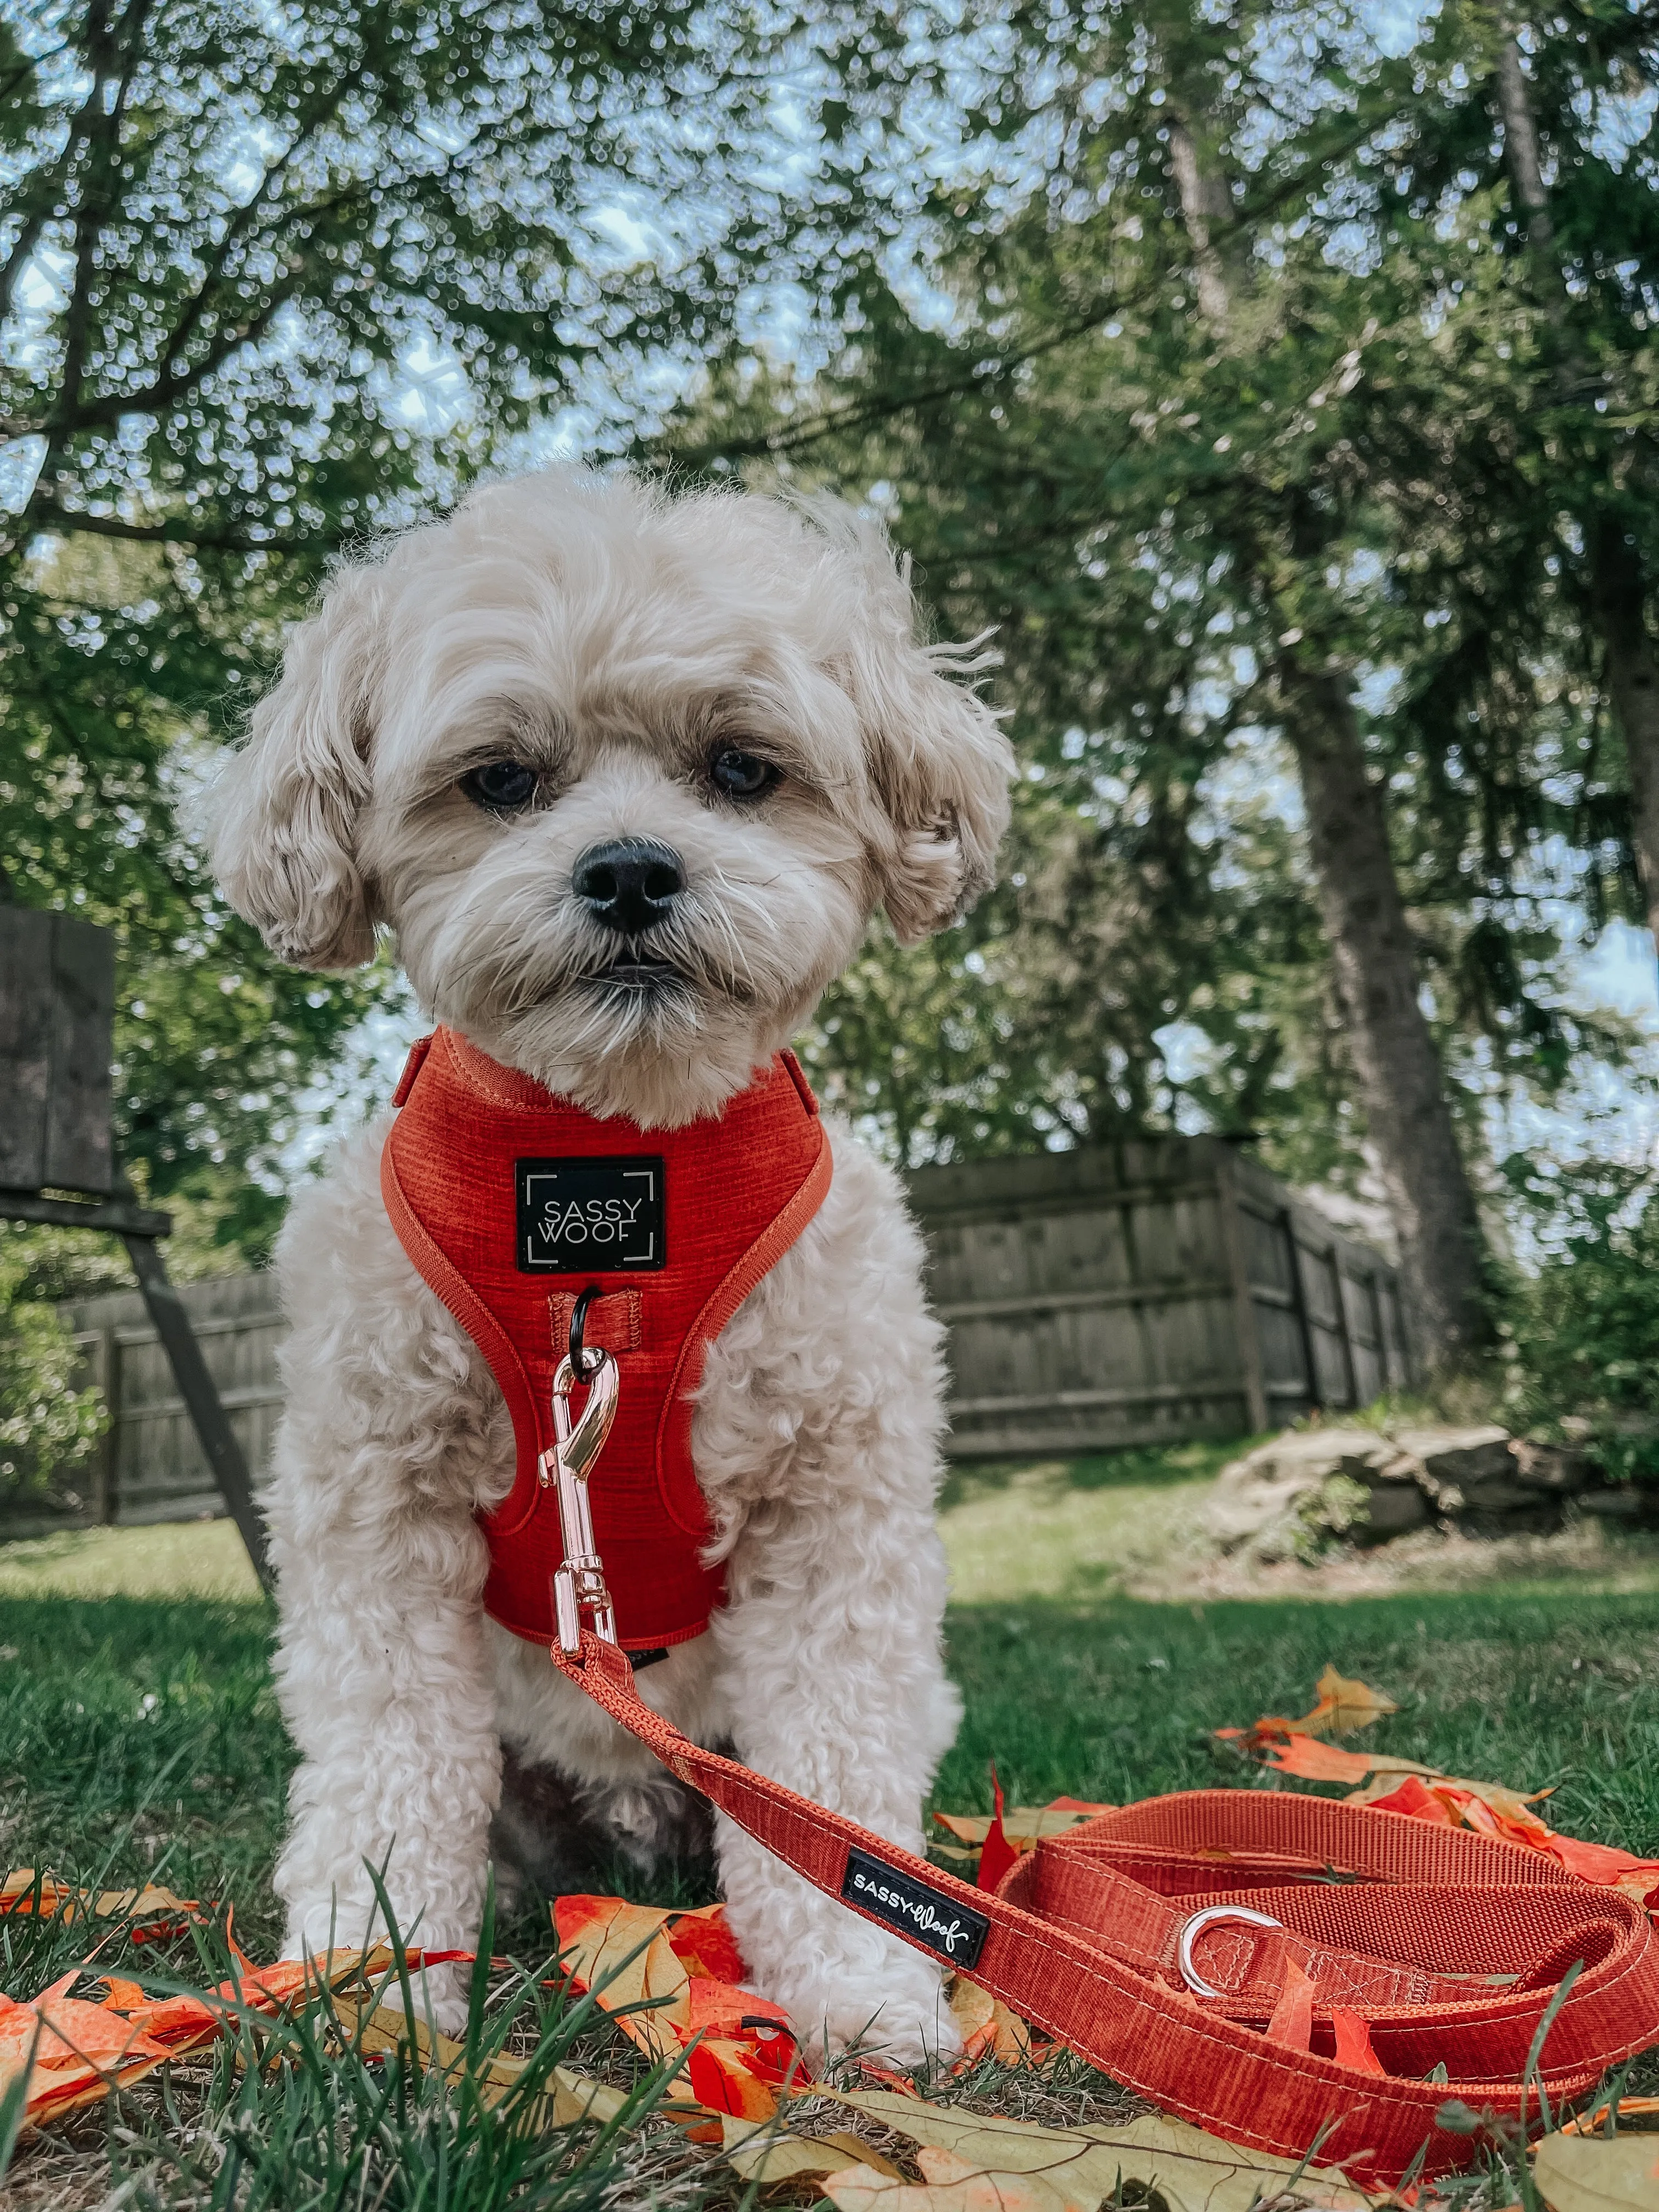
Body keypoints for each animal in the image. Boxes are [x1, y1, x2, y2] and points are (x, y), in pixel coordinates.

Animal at [204, 466, 1013, 2052]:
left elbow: (831, 1793)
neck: (603, 1175)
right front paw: (369, 1993)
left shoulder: (834, 1517)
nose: (632, 870)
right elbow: (388, 1773)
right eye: (502, 780)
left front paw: (861, 1992)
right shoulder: (374, 1507)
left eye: (744, 767)